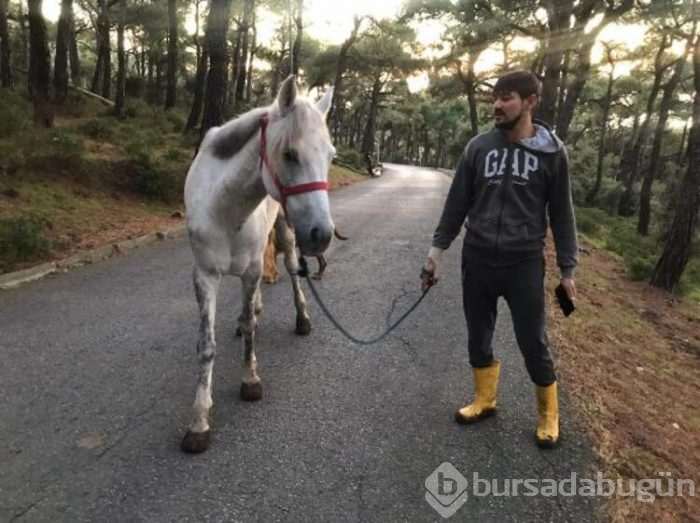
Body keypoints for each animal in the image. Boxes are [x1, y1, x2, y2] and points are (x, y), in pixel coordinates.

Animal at [180, 74, 334, 454]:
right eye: (290, 154)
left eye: (330, 156)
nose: (322, 234)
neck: (225, 208)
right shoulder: (205, 276)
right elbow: (206, 345)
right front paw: (199, 420)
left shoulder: (250, 269)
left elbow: (251, 324)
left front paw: (250, 380)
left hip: (287, 232)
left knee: (292, 270)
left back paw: (302, 317)